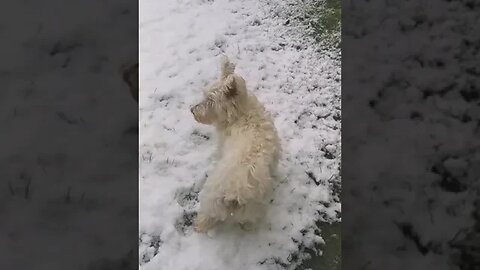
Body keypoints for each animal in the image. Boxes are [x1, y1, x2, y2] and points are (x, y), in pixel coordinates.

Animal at [190, 55, 282, 232]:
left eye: (210, 100)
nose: (192, 110)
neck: (242, 113)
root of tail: (235, 193)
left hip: (210, 197)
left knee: (206, 217)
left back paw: (198, 225)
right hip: (251, 209)